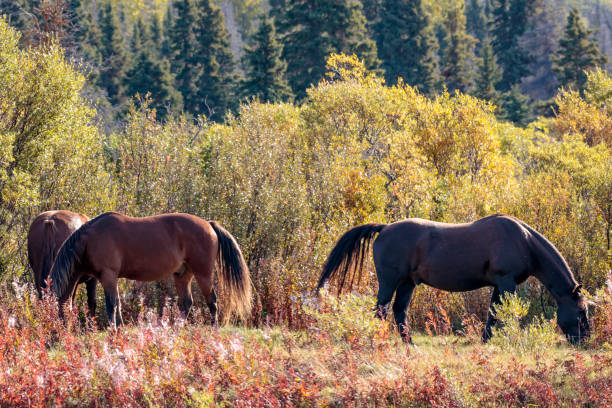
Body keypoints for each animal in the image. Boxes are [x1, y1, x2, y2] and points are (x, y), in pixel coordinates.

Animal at [50, 212, 253, 326]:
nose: (55, 335)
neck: (89, 240)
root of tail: (209, 225)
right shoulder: (109, 279)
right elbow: (117, 304)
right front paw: (120, 328)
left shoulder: (108, 276)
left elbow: (111, 305)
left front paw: (113, 329)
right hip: (182, 275)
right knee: (187, 303)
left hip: (203, 274)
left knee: (212, 301)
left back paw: (213, 328)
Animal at [318, 214, 592, 344]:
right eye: (580, 312)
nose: (585, 340)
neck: (523, 241)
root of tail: (384, 228)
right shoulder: (506, 283)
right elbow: (503, 313)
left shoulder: (499, 285)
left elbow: (493, 313)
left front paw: (486, 339)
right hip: (389, 281)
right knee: (381, 310)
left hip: (407, 283)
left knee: (398, 311)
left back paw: (410, 344)